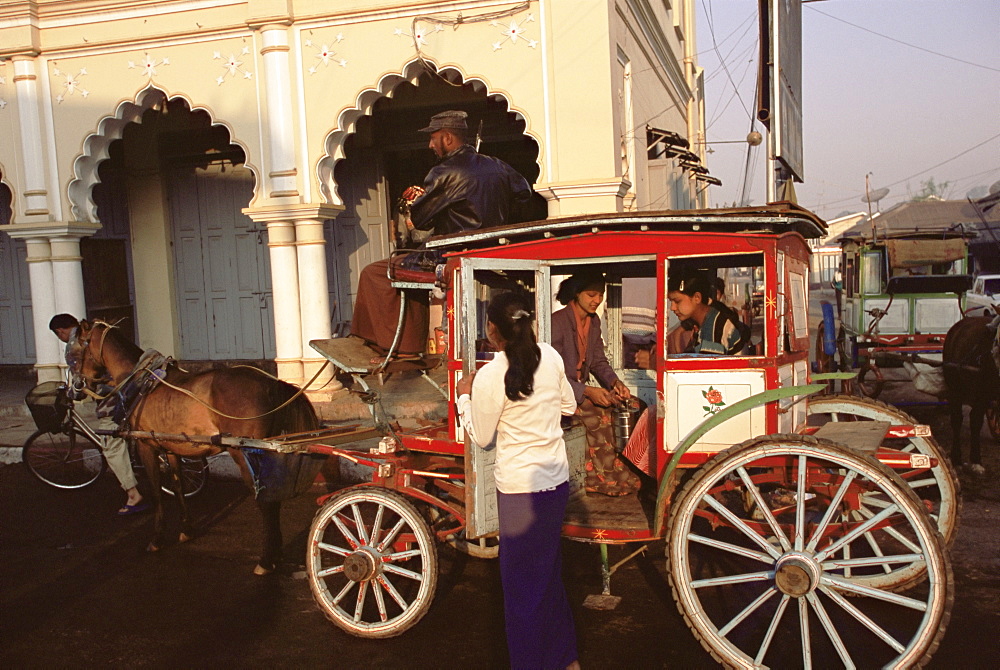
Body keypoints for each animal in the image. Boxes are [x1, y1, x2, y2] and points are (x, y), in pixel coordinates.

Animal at [70, 322, 320, 576]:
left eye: (74, 351)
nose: (76, 388)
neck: (140, 381)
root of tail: (270, 383)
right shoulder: (171, 448)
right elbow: (178, 487)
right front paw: (186, 530)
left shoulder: (145, 446)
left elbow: (157, 493)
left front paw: (157, 539)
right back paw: (276, 553)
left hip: (244, 453)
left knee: (265, 502)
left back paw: (266, 560)